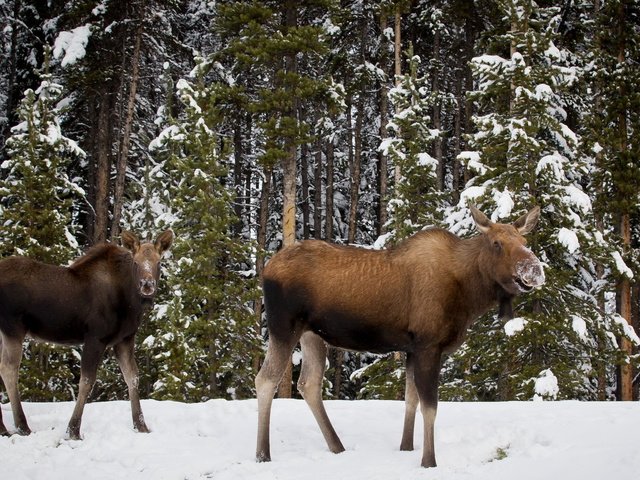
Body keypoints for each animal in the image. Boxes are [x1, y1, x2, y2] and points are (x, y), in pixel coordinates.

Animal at [0, 231, 172, 440]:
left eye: (159, 262)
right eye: (136, 262)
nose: (147, 284)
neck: (130, 303)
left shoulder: (124, 339)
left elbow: (132, 377)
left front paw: (141, 426)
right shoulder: (95, 338)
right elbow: (86, 382)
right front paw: (73, 430)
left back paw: (4, 428)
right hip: (13, 327)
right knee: (8, 369)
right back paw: (22, 426)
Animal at [255, 204, 544, 466]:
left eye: (524, 241)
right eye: (496, 243)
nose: (535, 270)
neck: (469, 296)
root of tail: (266, 270)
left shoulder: (412, 349)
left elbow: (410, 399)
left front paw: (406, 447)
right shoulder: (429, 345)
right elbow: (430, 406)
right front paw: (429, 461)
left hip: (312, 334)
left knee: (309, 383)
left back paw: (337, 446)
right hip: (284, 326)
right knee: (266, 379)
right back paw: (263, 454)